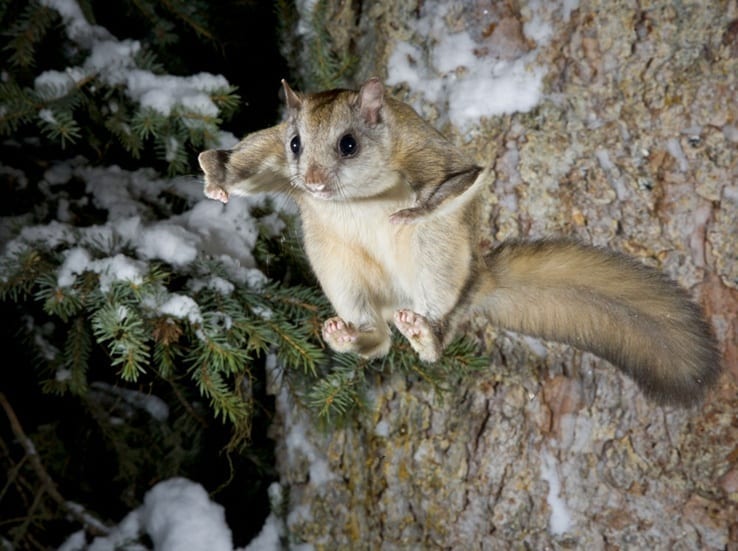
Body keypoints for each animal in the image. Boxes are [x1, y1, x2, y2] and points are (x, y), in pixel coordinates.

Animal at [198, 78, 721, 407]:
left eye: (349, 144)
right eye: (295, 144)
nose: (312, 183)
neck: (358, 194)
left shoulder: (426, 152)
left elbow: (457, 178)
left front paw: (409, 212)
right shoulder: (271, 150)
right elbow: (250, 159)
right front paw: (216, 176)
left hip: (439, 260)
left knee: (439, 325)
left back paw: (426, 333)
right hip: (339, 269)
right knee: (378, 340)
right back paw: (350, 334)